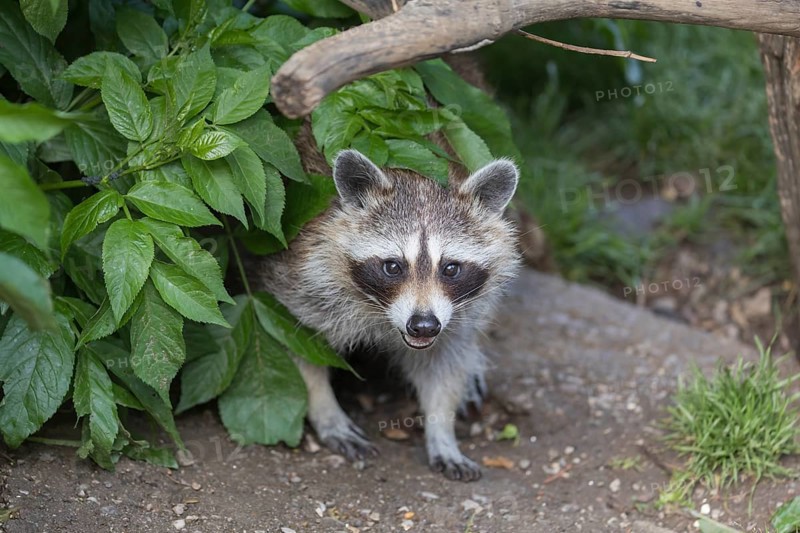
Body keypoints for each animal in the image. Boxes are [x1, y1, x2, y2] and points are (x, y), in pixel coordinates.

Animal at [251, 149, 520, 481]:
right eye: (392, 266)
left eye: (451, 268)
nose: (423, 326)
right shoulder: (302, 272)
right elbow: (298, 343)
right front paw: (324, 407)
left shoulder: (454, 317)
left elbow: (444, 364)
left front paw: (442, 430)